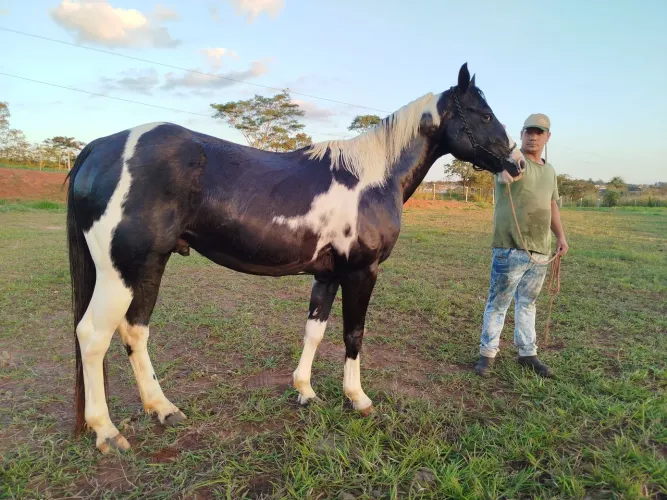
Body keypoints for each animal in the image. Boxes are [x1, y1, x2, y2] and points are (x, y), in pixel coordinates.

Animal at [66, 63, 526, 453]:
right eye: (484, 115)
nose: (518, 163)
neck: (375, 177)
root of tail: (100, 146)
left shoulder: (328, 275)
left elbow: (314, 333)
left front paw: (305, 391)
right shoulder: (362, 272)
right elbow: (353, 335)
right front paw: (358, 398)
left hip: (149, 265)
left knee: (134, 331)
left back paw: (163, 409)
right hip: (121, 270)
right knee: (92, 335)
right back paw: (107, 432)